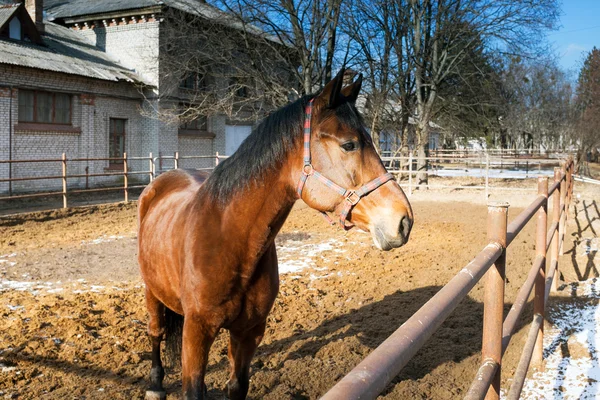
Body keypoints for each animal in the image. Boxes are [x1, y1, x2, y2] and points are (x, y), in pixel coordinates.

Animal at [138, 69, 414, 400]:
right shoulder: (197, 331)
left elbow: (236, 386)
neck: (229, 240)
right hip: (152, 291)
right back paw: (155, 385)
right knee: (155, 332)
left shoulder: (249, 331)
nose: (403, 220)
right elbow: (192, 388)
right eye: (349, 145)